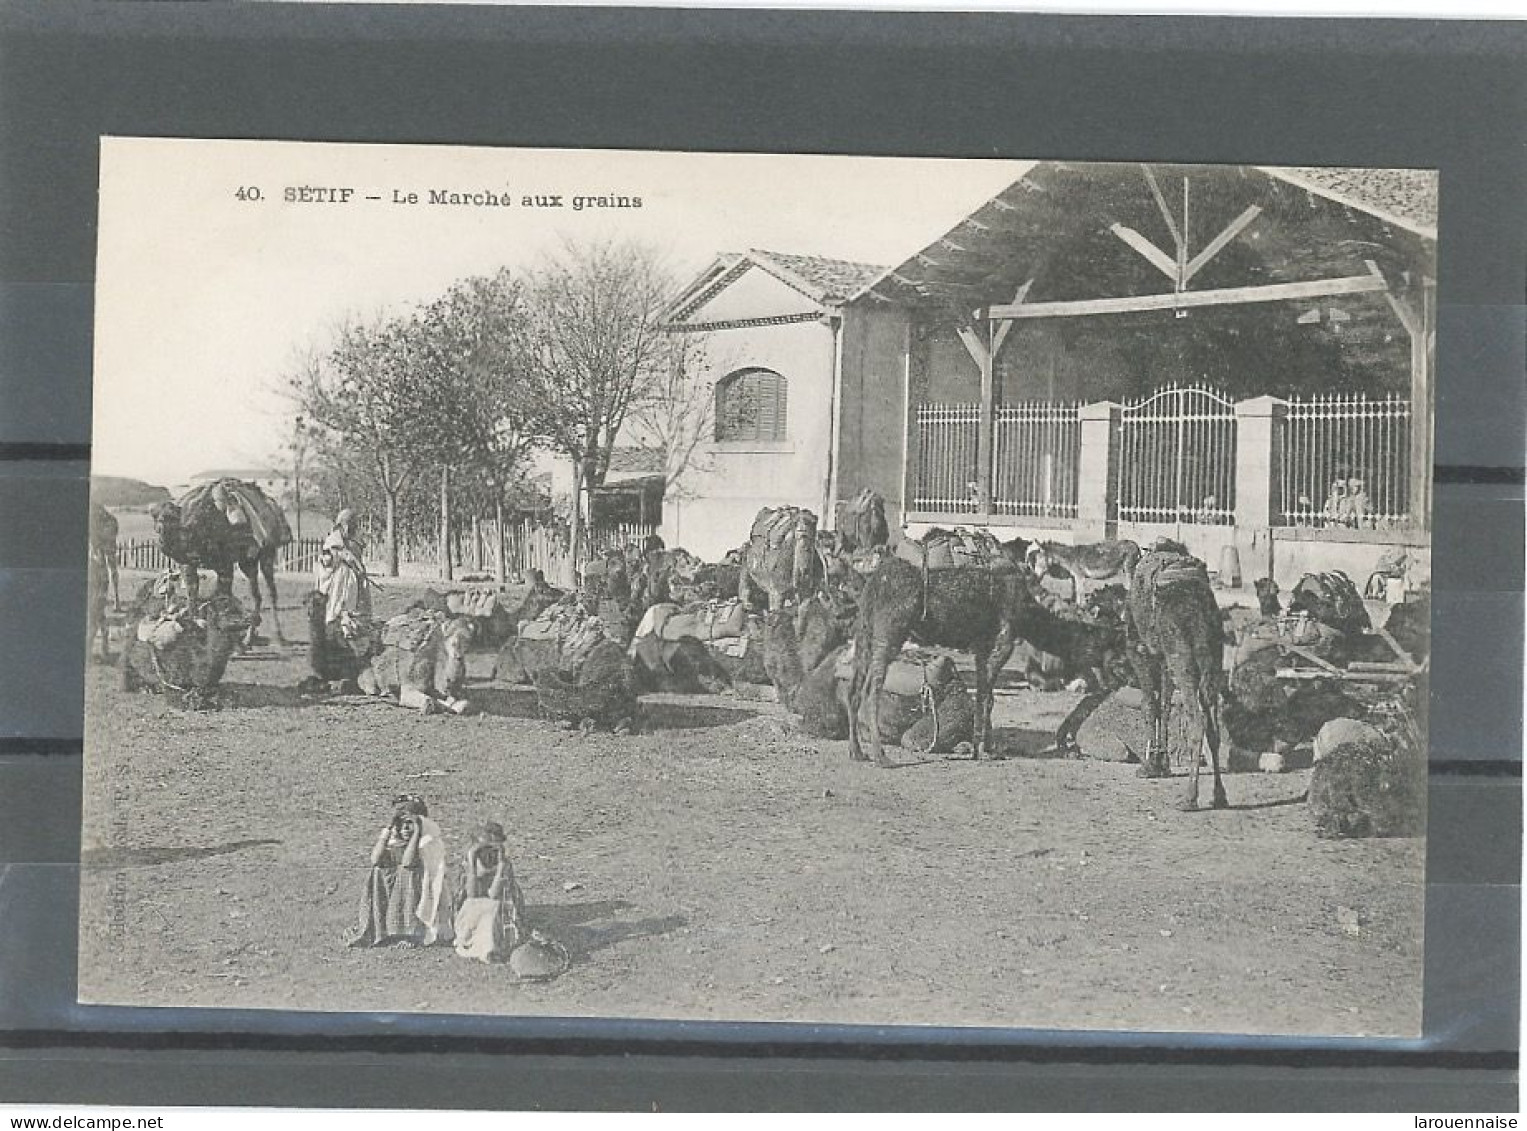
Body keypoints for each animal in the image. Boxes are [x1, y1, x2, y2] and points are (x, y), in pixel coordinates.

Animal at [151, 476, 291, 644]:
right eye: (155, 517)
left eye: (170, 518)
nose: (161, 536)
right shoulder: (188, 564)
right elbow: (193, 595)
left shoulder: (225, 564)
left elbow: (223, 598)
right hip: (247, 562)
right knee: (256, 595)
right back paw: (248, 638)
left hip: (266, 555)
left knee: (271, 592)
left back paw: (278, 636)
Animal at [1129, 543, 1233, 805]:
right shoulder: (1165, 660)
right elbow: (1165, 707)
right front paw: (1162, 763)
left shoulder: (1140, 653)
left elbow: (1149, 705)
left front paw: (1149, 766)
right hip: (1212, 657)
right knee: (1213, 725)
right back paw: (1219, 795)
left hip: (1182, 658)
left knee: (1197, 720)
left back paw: (1189, 798)